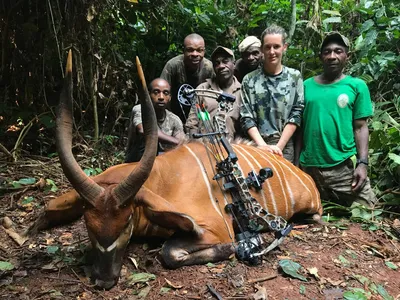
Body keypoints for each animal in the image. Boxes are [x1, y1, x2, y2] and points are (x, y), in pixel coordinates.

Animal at [28, 51, 322, 288]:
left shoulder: (216, 227)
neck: (161, 179)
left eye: (127, 222)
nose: (104, 280)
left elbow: (169, 252)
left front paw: (236, 247)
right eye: (87, 223)